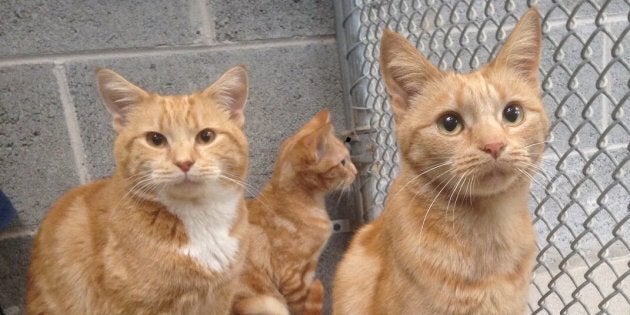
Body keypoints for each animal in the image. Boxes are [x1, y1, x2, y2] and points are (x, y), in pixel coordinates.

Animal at [233, 110, 360, 315]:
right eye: (343, 162)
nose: (356, 172)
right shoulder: (293, 275)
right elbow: (305, 309)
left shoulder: (307, 270)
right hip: (266, 303)